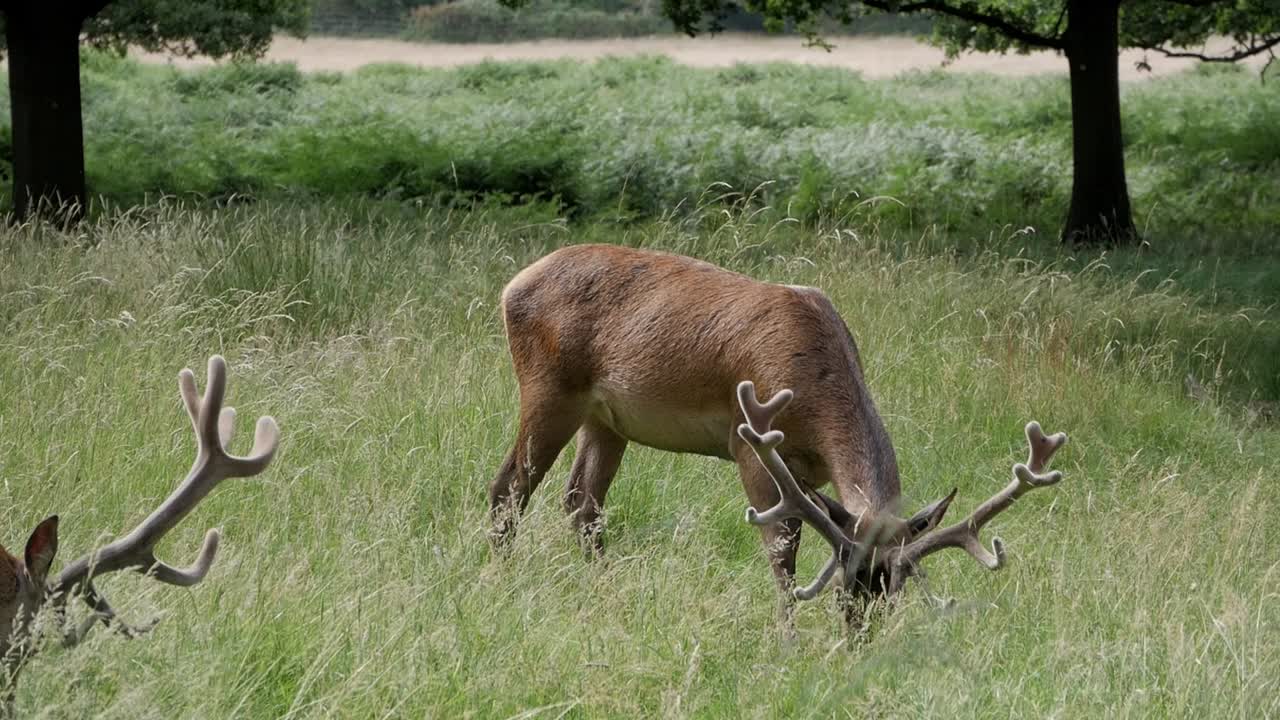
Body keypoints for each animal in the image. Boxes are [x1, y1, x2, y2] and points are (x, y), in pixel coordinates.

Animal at [488, 243, 1068, 623]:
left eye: (894, 588)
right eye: (845, 581)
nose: (859, 635)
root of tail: (512, 283)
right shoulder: (748, 444)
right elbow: (782, 552)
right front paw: (786, 637)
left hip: (607, 419)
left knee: (581, 501)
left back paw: (605, 588)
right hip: (548, 388)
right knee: (509, 487)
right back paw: (501, 580)